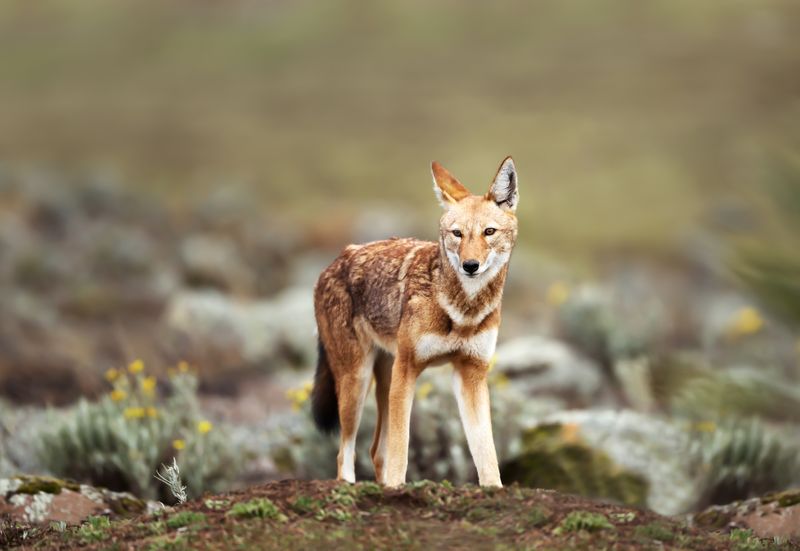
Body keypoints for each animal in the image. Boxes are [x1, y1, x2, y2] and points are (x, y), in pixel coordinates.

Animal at [310, 156, 520, 488]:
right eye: (457, 234)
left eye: (489, 232)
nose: (470, 265)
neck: (462, 311)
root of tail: (334, 262)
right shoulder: (407, 369)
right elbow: (401, 448)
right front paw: (398, 488)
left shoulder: (471, 374)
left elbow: (487, 454)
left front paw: (494, 491)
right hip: (358, 383)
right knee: (346, 453)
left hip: (383, 379)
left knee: (375, 451)